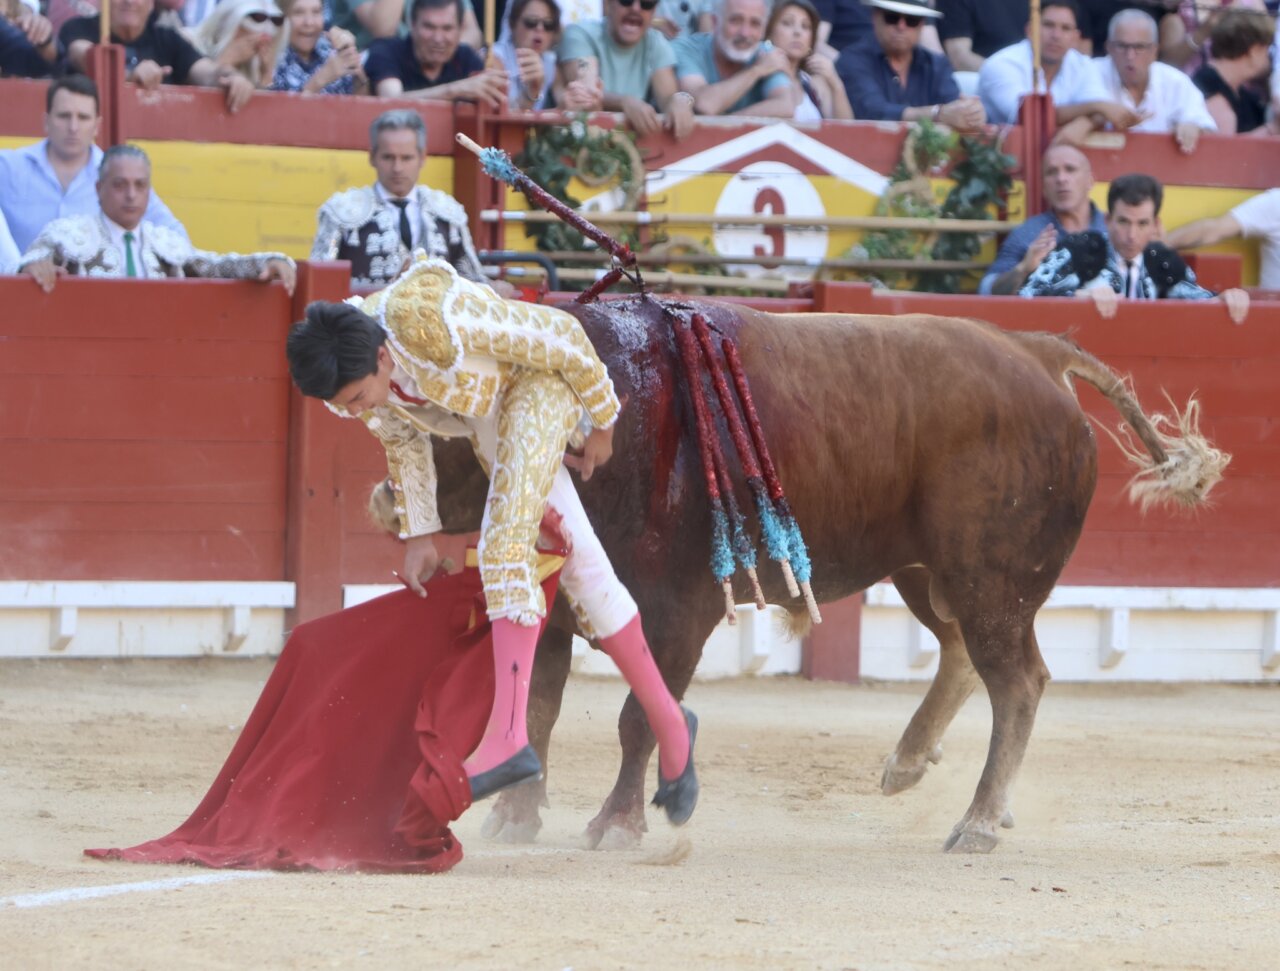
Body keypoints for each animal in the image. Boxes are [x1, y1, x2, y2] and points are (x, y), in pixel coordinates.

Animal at [404, 294, 1227, 854]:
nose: (389, 496)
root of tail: (1034, 349)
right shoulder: (558, 605)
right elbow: (538, 704)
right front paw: (515, 816)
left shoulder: (680, 612)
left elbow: (642, 714)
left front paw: (615, 825)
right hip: (928, 571)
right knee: (965, 654)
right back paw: (910, 764)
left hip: (989, 579)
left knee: (1017, 677)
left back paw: (979, 821)